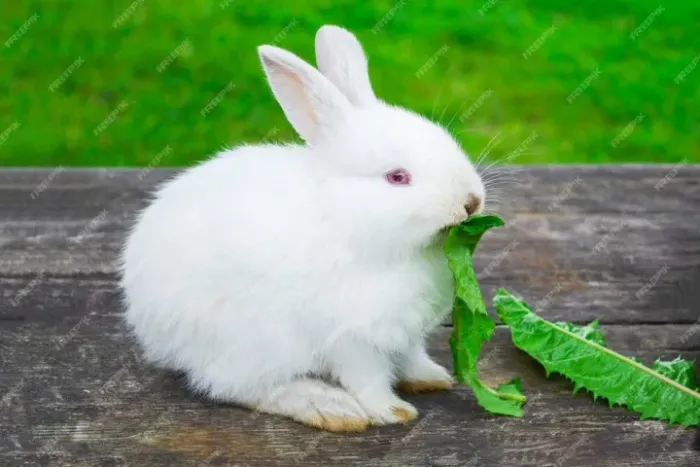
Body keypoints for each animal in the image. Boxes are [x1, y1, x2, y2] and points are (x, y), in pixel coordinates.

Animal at [120, 25, 485, 433]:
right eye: (397, 177)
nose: (471, 202)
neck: (346, 222)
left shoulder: (403, 335)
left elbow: (410, 357)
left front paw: (431, 377)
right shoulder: (351, 338)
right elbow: (368, 379)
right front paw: (391, 411)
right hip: (251, 345)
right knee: (241, 388)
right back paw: (329, 407)